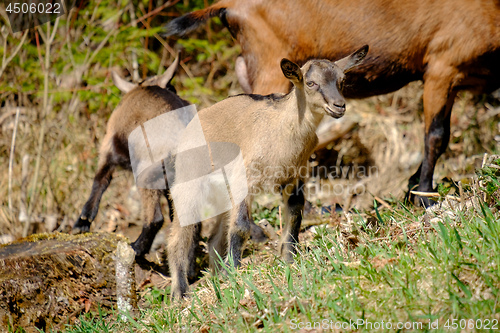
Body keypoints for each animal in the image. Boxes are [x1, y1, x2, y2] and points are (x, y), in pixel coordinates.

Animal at [164, 0, 500, 205]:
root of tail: (231, 6)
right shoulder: (444, 65)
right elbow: (436, 136)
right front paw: (424, 196)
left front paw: (412, 188)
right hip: (272, 60)